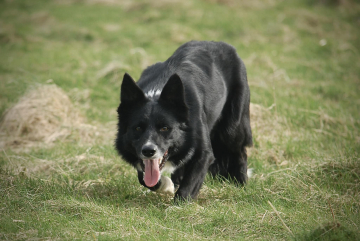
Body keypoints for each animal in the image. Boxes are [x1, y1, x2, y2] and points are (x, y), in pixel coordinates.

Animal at [115, 41, 253, 201]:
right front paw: (166, 186)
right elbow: (144, 178)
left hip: (231, 128)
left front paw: (179, 203)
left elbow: (190, 182)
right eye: (137, 128)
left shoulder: (203, 153)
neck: (158, 92)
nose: (148, 151)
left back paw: (241, 183)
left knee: (240, 151)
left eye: (164, 128)